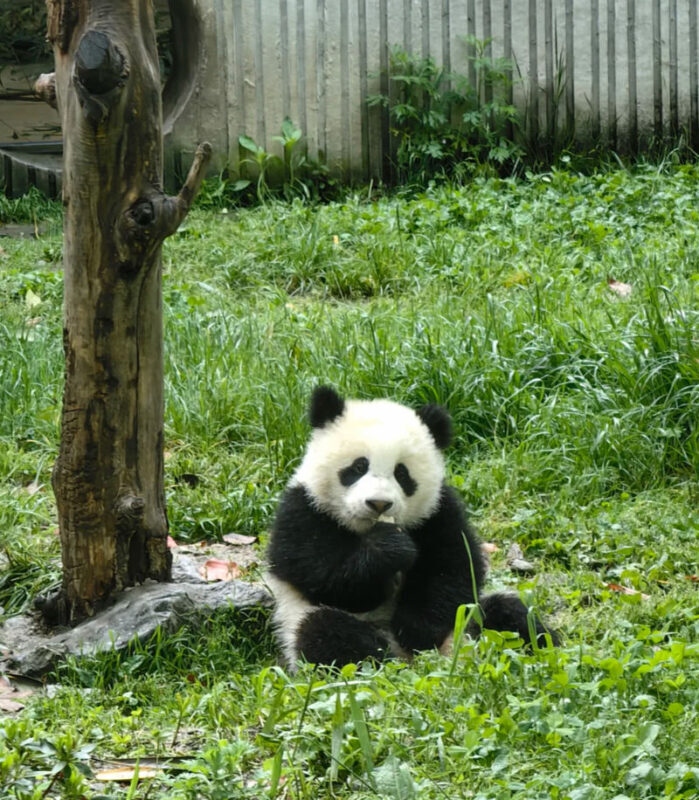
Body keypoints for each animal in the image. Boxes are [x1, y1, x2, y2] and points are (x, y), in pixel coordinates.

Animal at [266, 386, 557, 669]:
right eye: (359, 466)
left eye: (401, 473)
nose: (379, 503)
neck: (367, 528)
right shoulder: (303, 510)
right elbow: (327, 577)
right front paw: (389, 550)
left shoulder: (437, 512)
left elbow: (450, 568)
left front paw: (416, 630)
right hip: (300, 620)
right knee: (327, 633)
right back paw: (379, 664)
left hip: (469, 618)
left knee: (509, 614)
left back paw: (537, 650)